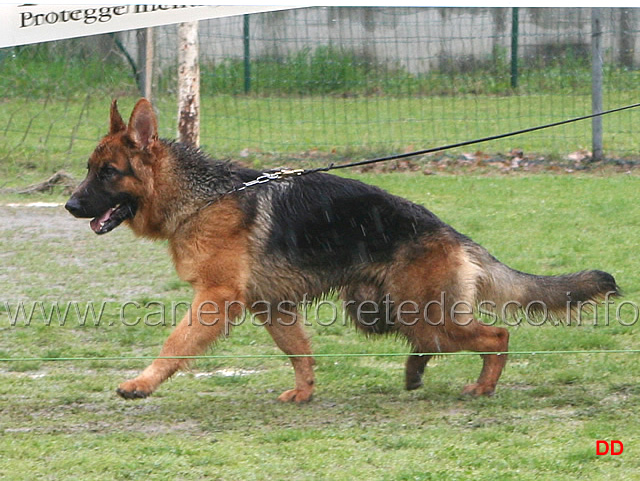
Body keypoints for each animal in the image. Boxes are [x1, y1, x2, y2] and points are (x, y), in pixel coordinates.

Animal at [66, 99, 620, 400]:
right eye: (91, 170)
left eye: (107, 173)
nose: (70, 204)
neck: (200, 197)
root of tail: (450, 232)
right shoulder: (273, 307)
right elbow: (299, 351)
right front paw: (305, 392)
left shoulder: (215, 299)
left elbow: (174, 343)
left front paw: (142, 383)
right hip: (385, 313)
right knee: (436, 343)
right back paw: (416, 372)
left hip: (422, 312)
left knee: (497, 335)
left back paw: (483, 387)